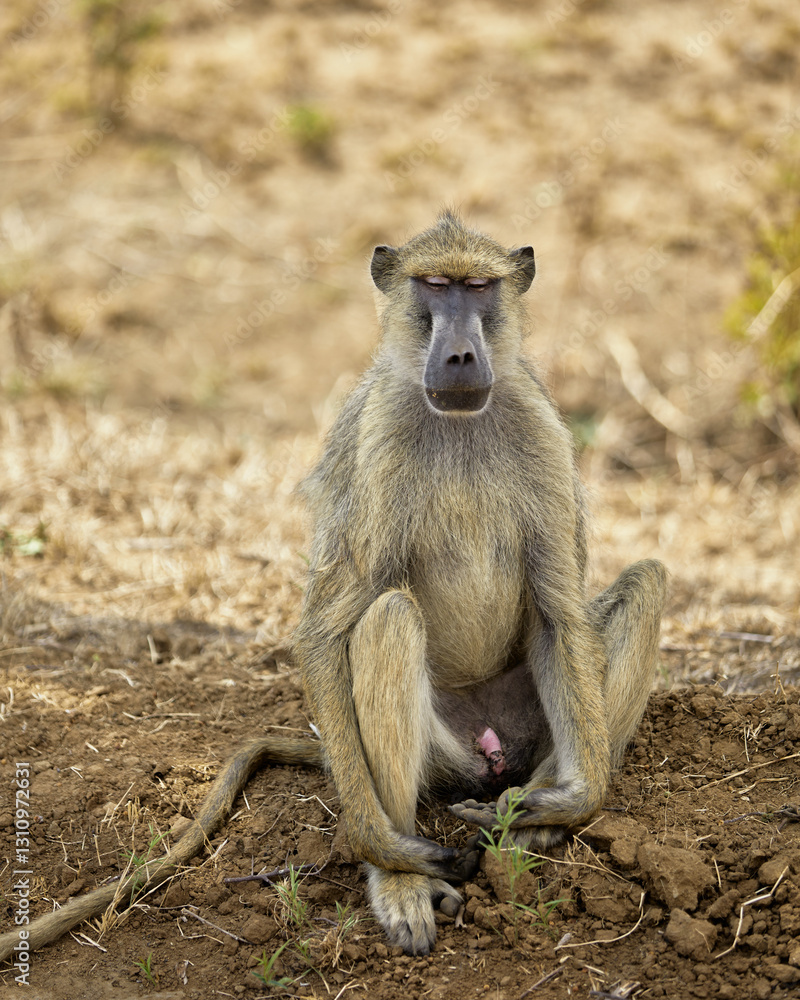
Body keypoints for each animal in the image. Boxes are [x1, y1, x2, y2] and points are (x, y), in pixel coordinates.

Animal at [0, 212, 665, 964]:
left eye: (478, 287)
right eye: (434, 285)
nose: (461, 355)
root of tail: (489, 749)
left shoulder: (541, 428)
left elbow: (558, 612)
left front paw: (568, 806)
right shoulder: (377, 441)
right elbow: (328, 627)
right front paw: (388, 851)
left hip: (523, 733)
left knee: (645, 584)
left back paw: (530, 817)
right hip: (445, 755)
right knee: (389, 619)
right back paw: (402, 874)